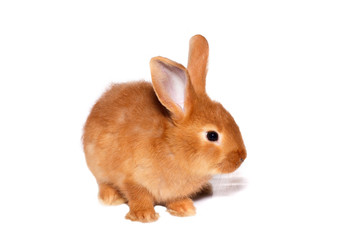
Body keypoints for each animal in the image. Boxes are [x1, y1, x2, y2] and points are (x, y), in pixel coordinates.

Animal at [83, 34, 248, 222]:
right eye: (212, 135)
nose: (242, 157)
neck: (173, 147)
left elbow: (174, 198)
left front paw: (184, 208)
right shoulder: (130, 178)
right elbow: (138, 195)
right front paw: (144, 215)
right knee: (103, 182)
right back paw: (110, 198)